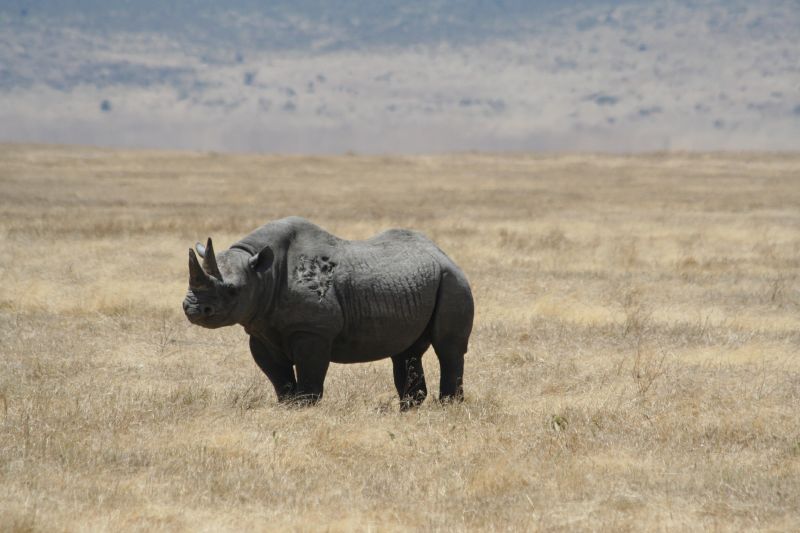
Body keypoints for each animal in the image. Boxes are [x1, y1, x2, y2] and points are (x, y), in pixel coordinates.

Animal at [183, 216, 476, 408]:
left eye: (232, 290)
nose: (192, 309)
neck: (262, 273)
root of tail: (444, 254)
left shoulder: (313, 331)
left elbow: (310, 377)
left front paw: (305, 409)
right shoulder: (260, 329)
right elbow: (279, 378)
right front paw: (287, 407)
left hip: (453, 280)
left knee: (448, 348)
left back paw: (449, 407)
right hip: (418, 282)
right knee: (406, 352)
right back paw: (408, 411)